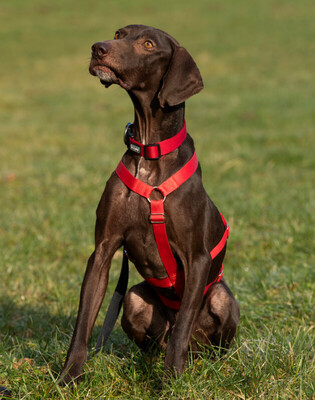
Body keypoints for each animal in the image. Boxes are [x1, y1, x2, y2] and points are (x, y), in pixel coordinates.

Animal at [59, 24, 241, 384]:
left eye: (147, 44)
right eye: (119, 33)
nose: (98, 48)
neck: (149, 152)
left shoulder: (197, 259)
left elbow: (183, 326)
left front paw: (171, 382)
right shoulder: (103, 250)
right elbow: (83, 324)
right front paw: (68, 377)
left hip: (221, 300)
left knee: (192, 335)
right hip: (134, 299)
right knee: (155, 338)